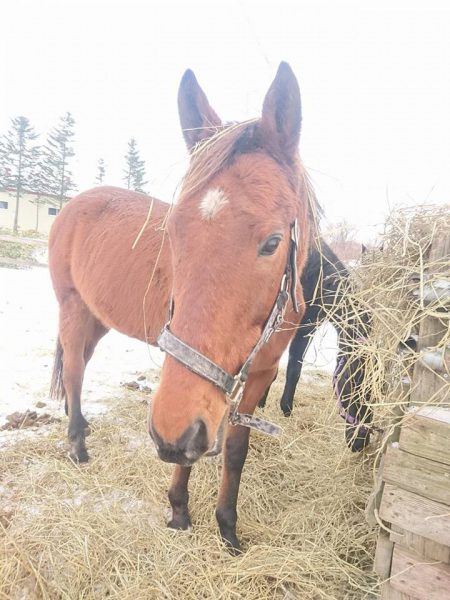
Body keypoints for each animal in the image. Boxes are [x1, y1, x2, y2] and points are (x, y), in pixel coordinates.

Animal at [49, 61, 314, 552]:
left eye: (272, 242)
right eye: (171, 233)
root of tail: (71, 206)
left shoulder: (257, 376)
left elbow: (233, 449)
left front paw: (227, 527)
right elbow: (191, 447)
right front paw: (178, 510)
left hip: (96, 317)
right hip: (72, 307)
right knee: (74, 370)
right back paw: (77, 444)